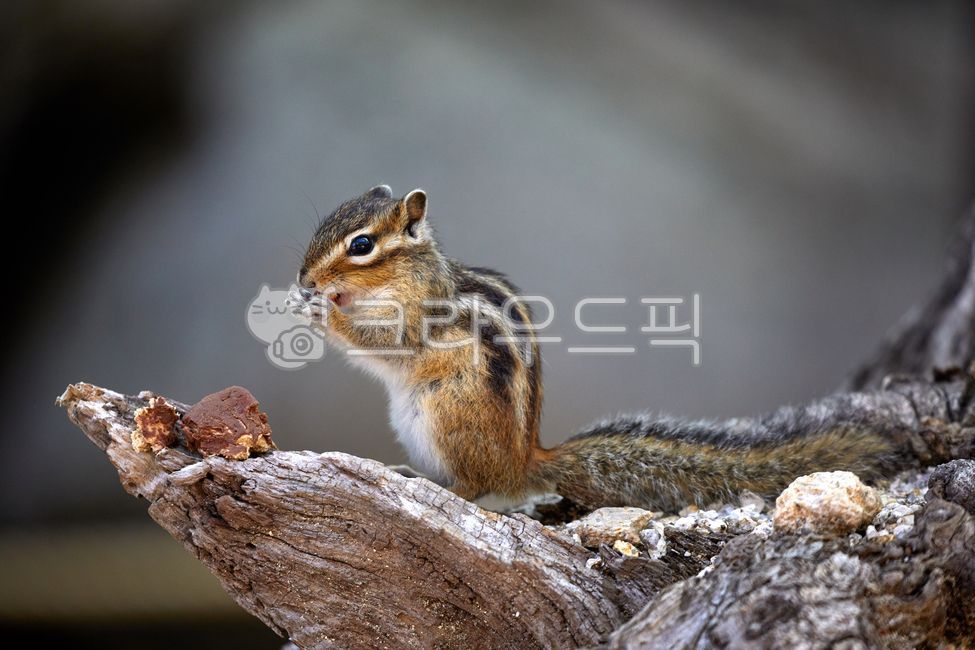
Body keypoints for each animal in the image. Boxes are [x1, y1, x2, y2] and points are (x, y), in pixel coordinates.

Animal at [292, 185, 909, 511]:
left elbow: (384, 343)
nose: (303, 278)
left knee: (478, 489)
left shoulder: (420, 317)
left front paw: (324, 312)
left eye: (362, 245)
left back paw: (430, 481)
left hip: (446, 415)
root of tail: (526, 461)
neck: (409, 273)